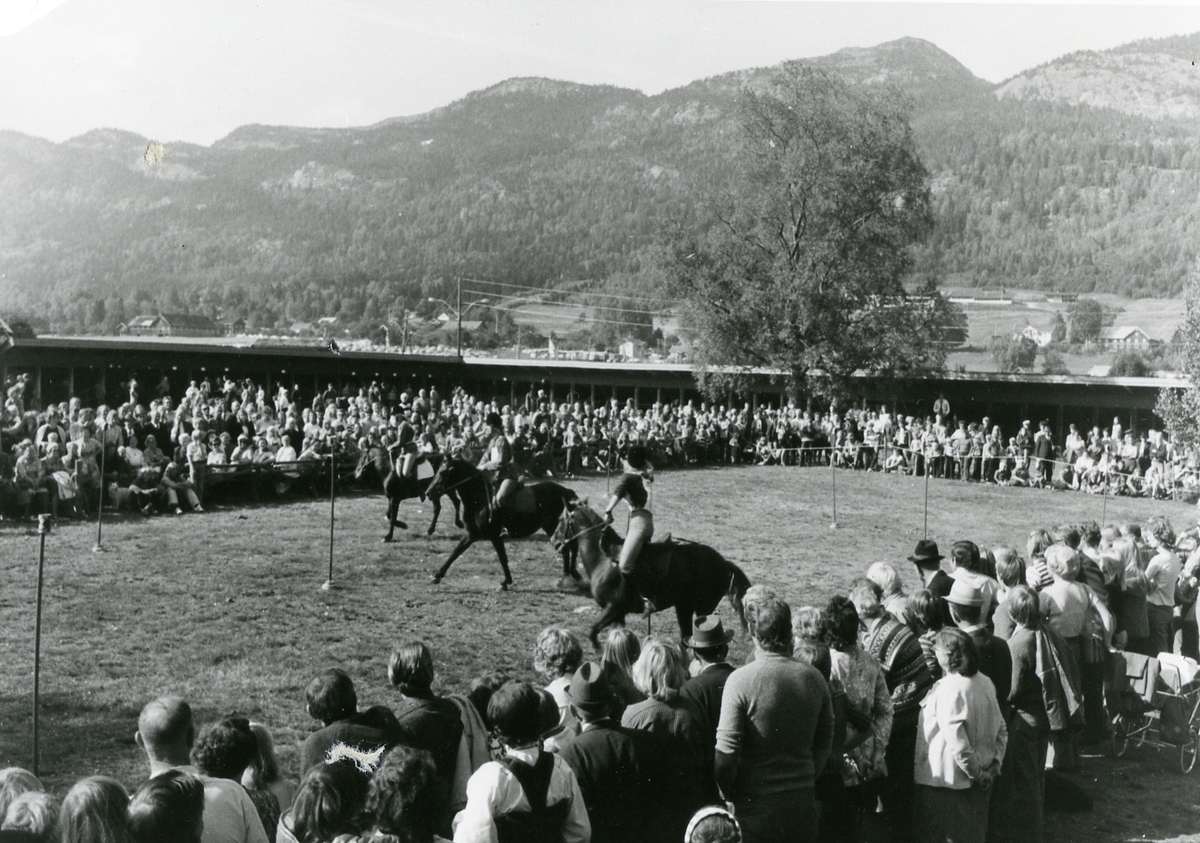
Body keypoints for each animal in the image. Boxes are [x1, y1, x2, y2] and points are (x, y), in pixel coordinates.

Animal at [424, 458, 578, 590]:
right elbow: (456, 552)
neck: (480, 500)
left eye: (442, 472)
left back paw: (567, 577)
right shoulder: (471, 534)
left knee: (568, 548)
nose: (428, 493)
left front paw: (505, 582)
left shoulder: (493, 535)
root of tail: (565, 491)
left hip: (554, 527)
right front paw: (437, 576)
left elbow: (502, 558)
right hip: (551, 528)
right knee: (567, 548)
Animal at [554, 501, 748, 648]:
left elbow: (593, 632)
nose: (555, 542)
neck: (603, 558)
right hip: (683, 606)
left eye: (560, 519)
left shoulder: (612, 608)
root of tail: (725, 563)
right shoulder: (618, 615)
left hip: (702, 607)